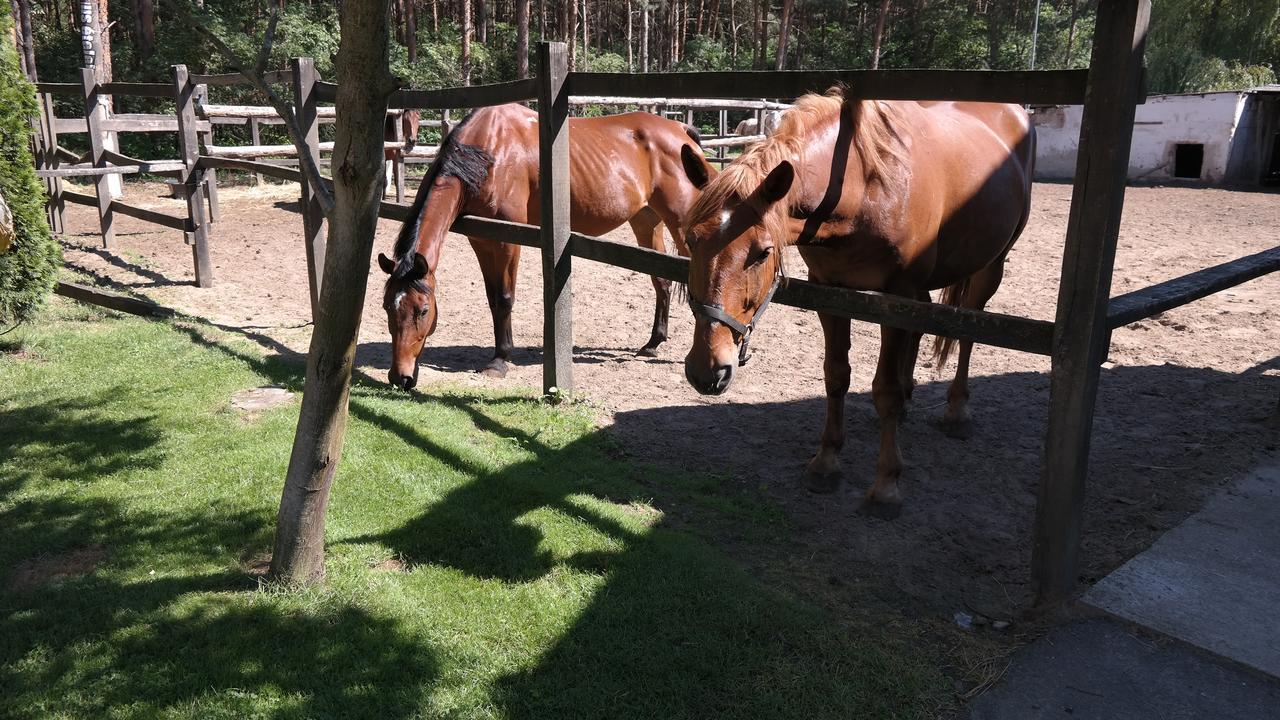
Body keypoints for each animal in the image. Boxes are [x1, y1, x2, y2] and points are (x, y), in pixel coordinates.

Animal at [373, 101, 716, 386]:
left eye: (423, 310)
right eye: (388, 307)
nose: (400, 377)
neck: (487, 153)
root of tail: (681, 131)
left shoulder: (507, 241)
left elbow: (505, 298)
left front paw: (500, 360)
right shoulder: (480, 239)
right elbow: (492, 299)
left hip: (683, 224)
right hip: (646, 222)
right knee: (661, 280)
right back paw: (653, 343)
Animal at [680, 90, 1029, 515]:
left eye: (763, 252)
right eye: (691, 239)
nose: (707, 371)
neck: (861, 188)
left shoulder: (897, 298)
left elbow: (885, 391)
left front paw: (886, 485)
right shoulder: (831, 293)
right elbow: (836, 376)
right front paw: (827, 463)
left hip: (990, 266)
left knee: (967, 332)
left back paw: (958, 411)